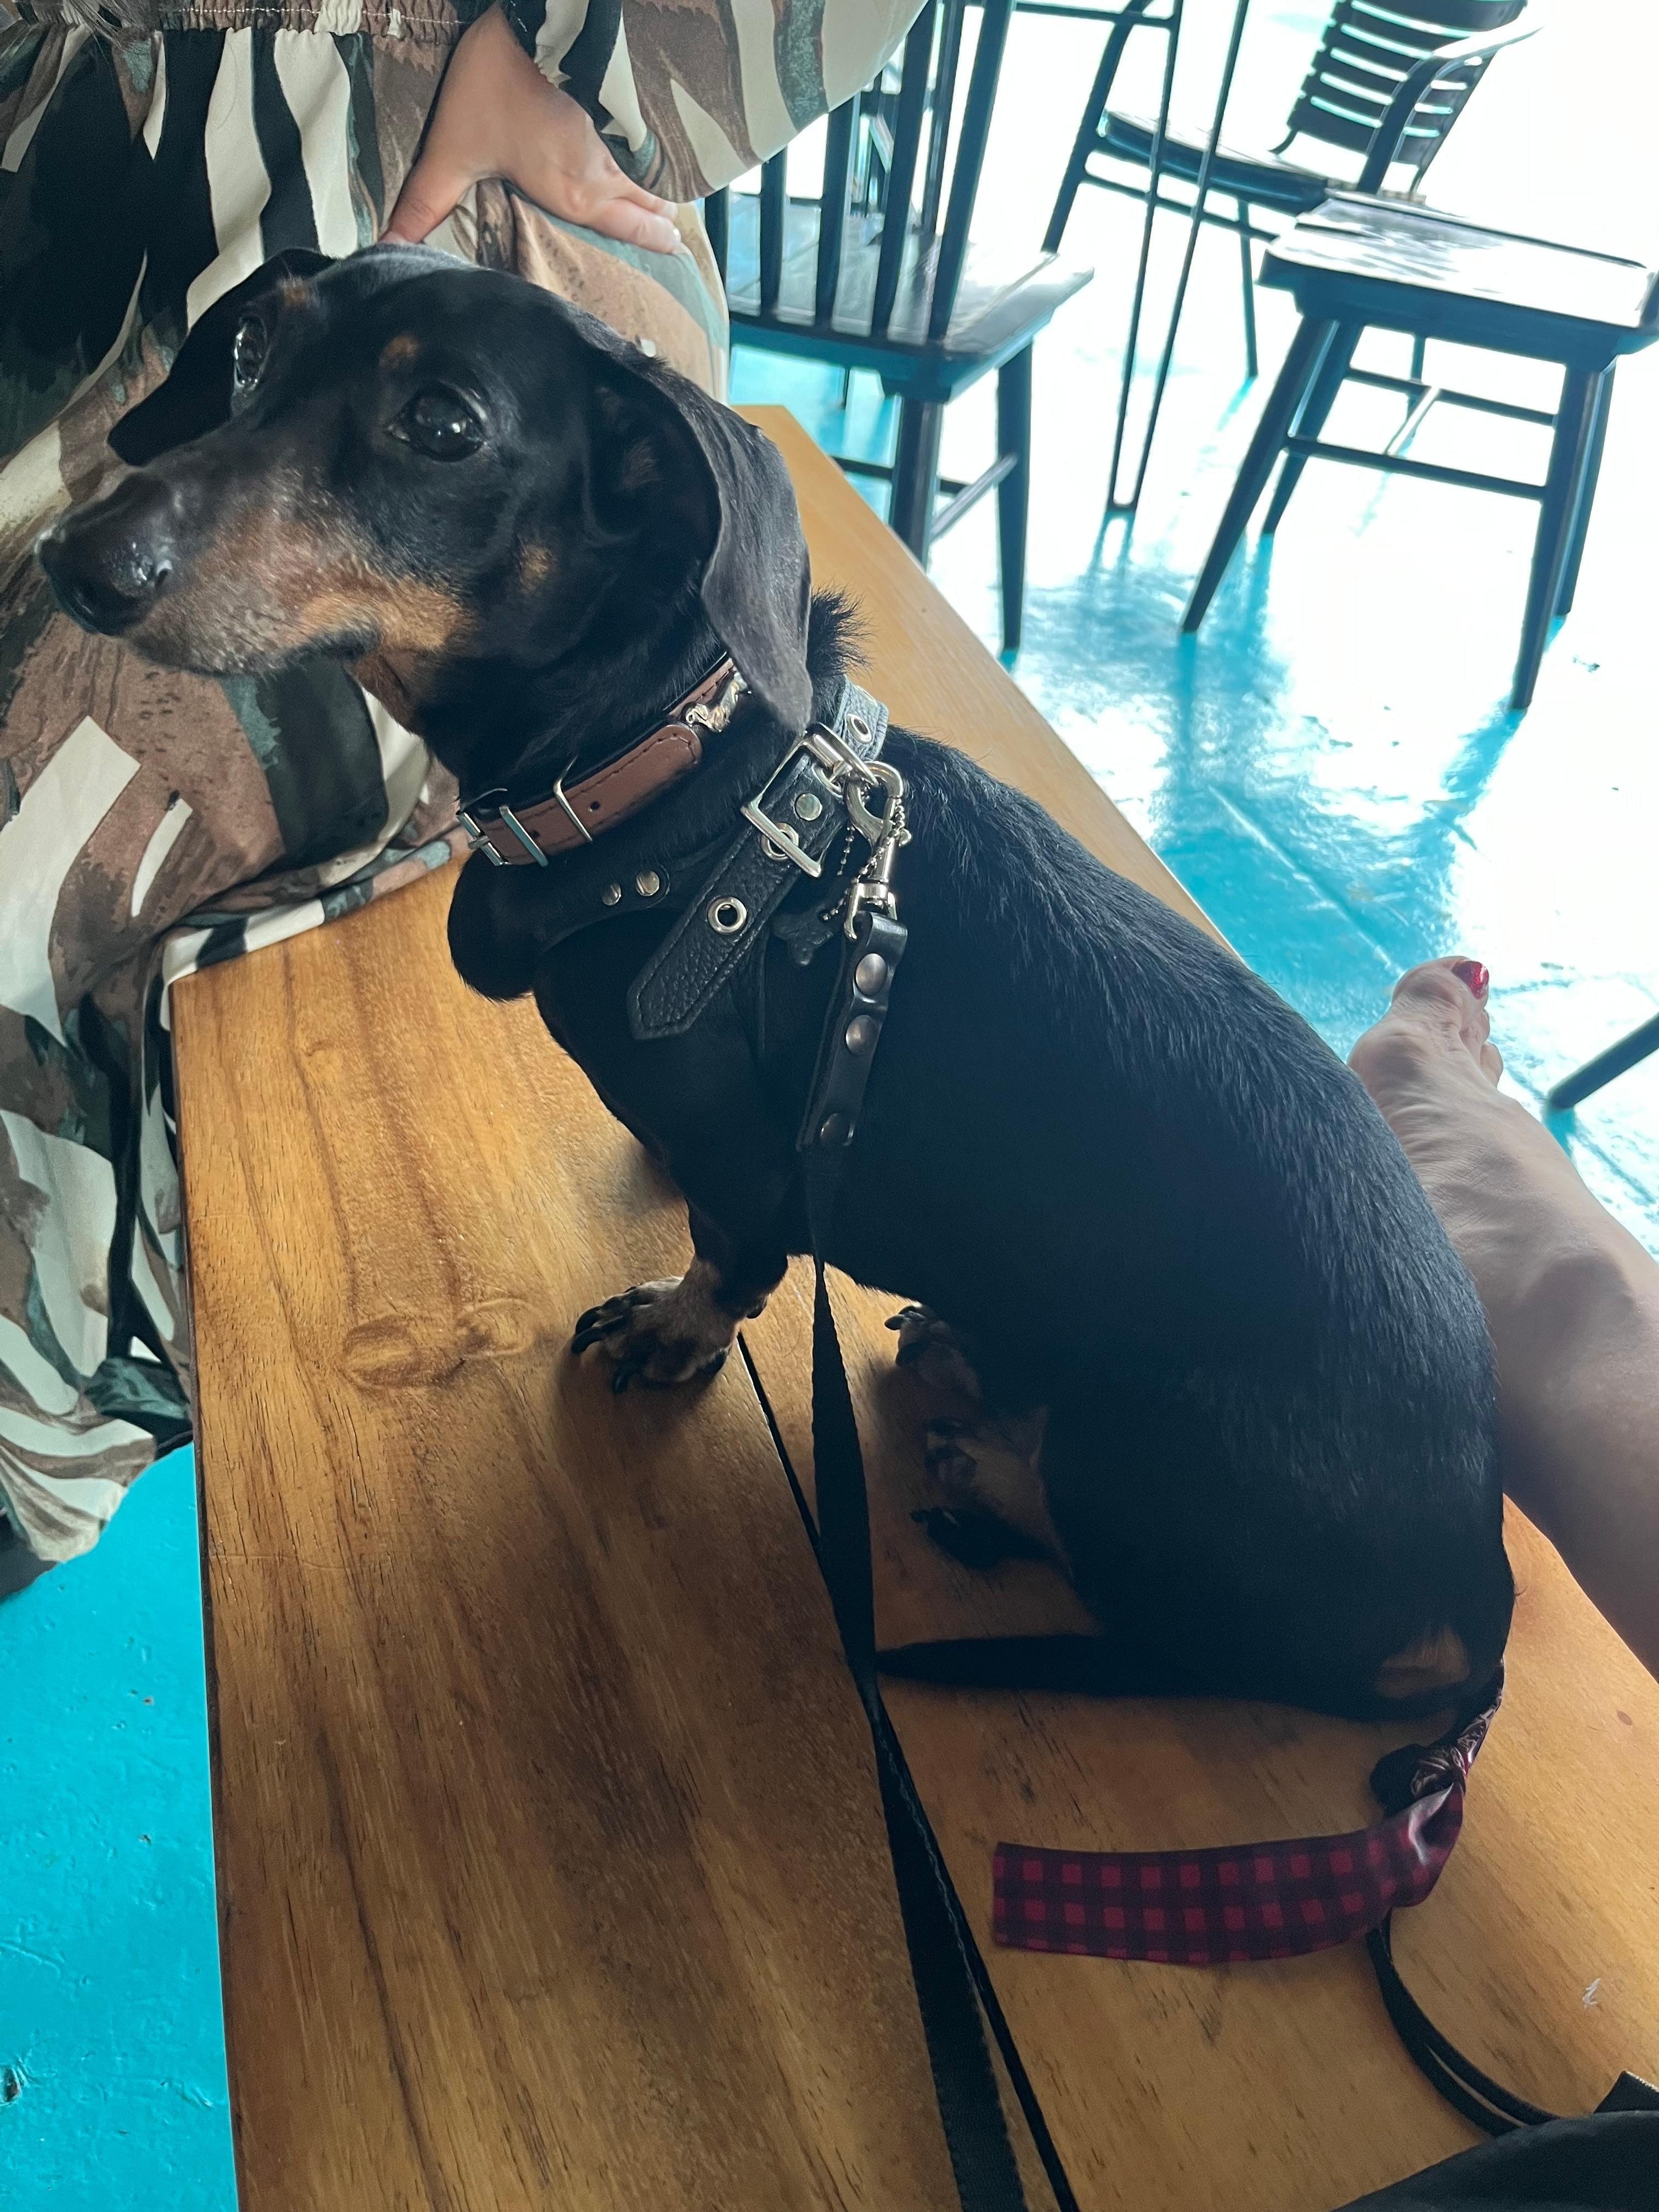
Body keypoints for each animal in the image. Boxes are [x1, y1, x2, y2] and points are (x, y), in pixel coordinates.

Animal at [39, 245, 1514, 1722]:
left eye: (444, 424)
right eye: (250, 354)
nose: (74, 560)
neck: (676, 780)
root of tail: (1477, 1583)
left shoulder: (744, 1162)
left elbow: (726, 1251)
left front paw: (676, 1328)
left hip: (1140, 1457)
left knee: (1149, 1616)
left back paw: (992, 1463)